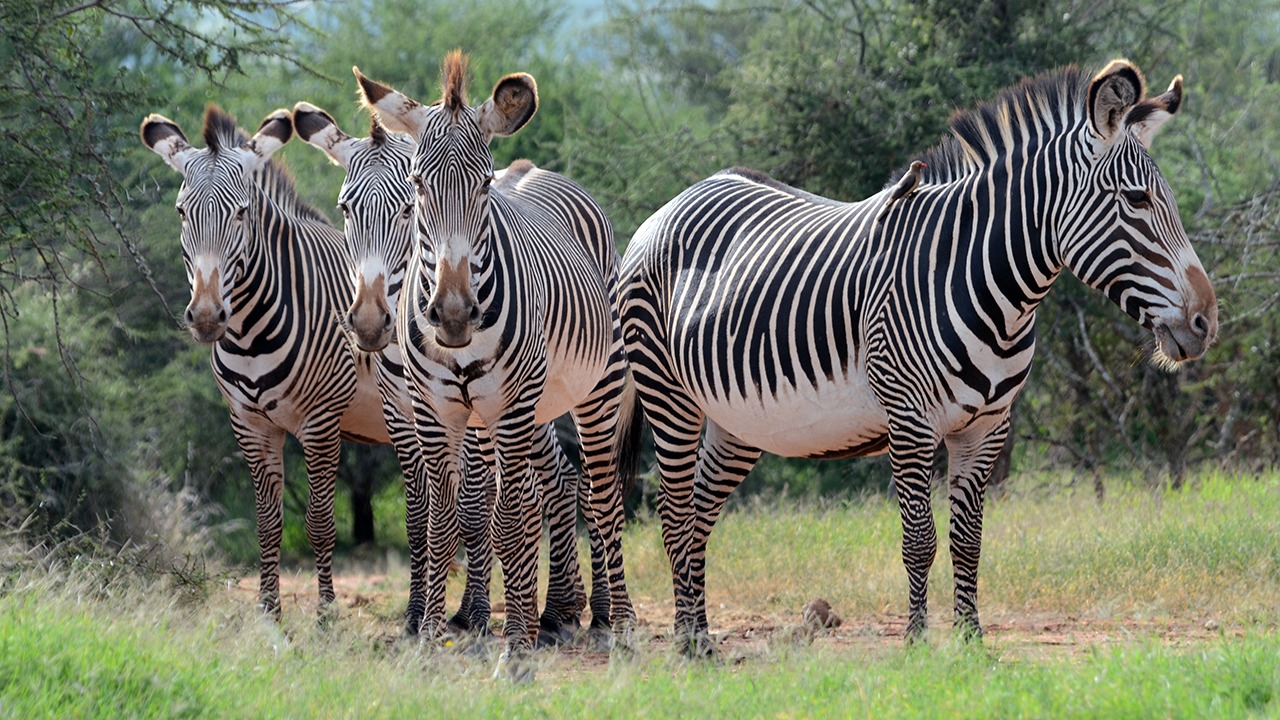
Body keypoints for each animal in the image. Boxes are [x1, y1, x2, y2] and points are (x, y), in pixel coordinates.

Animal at [139, 105, 493, 625]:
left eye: (240, 212)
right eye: (183, 213)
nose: (205, 317)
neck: (251, 329)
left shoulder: (321, 422)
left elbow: (321, 521)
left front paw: (326, 614)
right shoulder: (249, 424)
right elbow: (268, 523)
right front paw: (269, 613)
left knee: (481, 500)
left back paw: (473, 613)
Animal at [291, 101, 613, 645]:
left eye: (407, 207)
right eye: (346, 208)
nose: (370, 322)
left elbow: (473, 505)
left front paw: (476, 614)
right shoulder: (403, 412)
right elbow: (421, 512)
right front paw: (420, 614)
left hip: (585, 384)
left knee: (585, 484)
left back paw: (597, 613)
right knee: (558, 480)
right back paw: (557, 610)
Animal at [617, 60, 1218, 654]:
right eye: (1137, 200)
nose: (1205, 324)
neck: (988, 287)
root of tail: (678, 199)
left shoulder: (987, 427)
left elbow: (968, 539)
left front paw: (971, 640)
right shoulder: (909, 420)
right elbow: (920, 539)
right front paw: (916, 643)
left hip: (736, 421)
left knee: (698, 514)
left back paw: (699, 637)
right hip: (669, 396)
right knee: (674, 514)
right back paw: (688, 646)